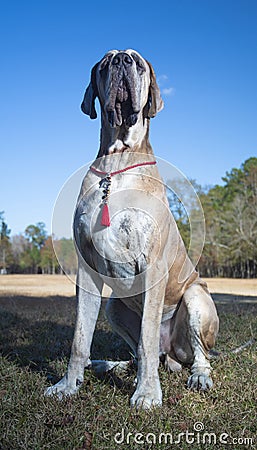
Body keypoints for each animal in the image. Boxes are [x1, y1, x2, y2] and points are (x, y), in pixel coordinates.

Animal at [44, 49, 218, 408]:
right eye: (105, 62)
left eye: (137, 63)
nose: (122, 59)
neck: (117, 163)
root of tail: (173, 355)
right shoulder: (87, 271)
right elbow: (79, 337)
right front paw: (67, 385)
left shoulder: (153, 267)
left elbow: (146, 340)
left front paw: (147, 393)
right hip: (114, 307)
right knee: (136, 353)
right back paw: (109, 365)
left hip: (196, 297)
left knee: (196, 354)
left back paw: (198, 376)